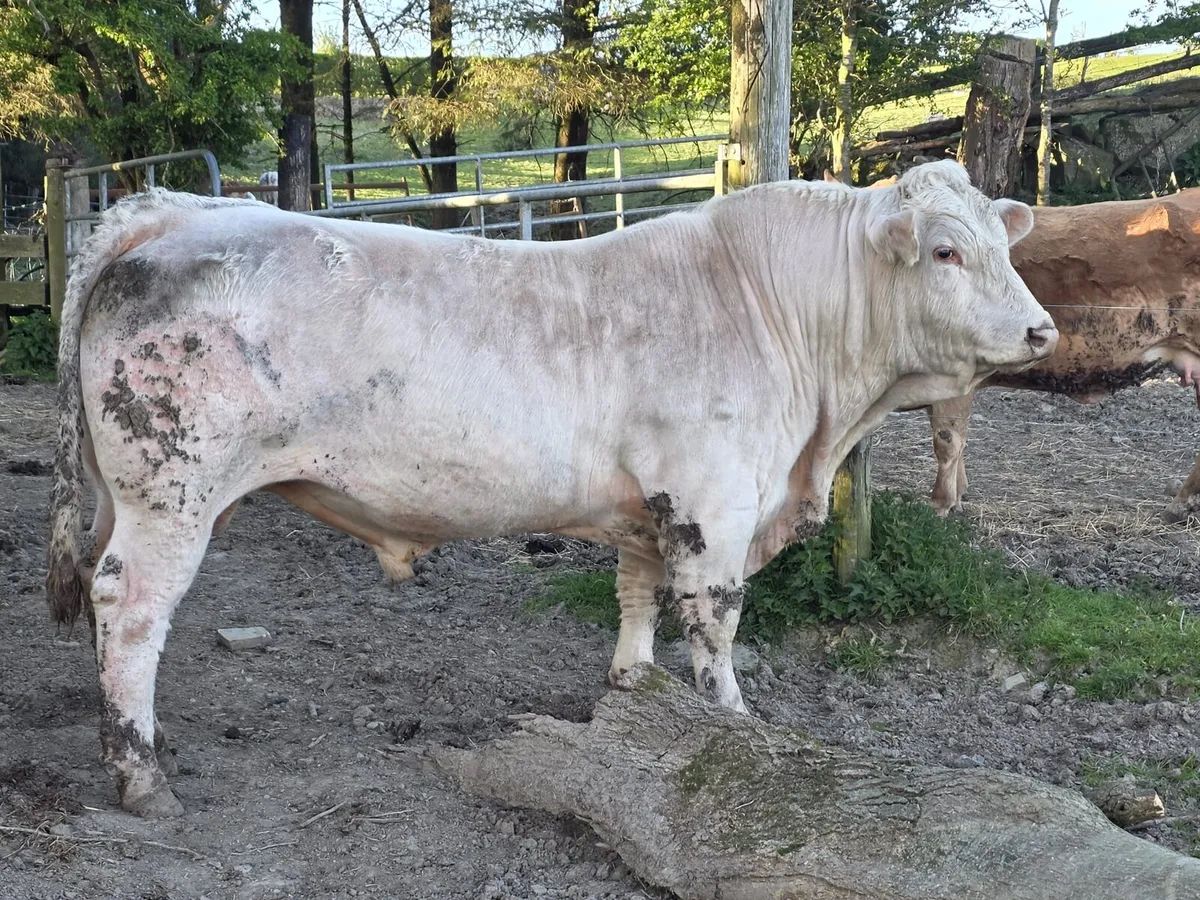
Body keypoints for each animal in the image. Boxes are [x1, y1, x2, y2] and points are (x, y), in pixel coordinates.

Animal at [46, 159, 1056, 817]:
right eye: (945, 253)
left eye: (1003, 244)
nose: (1042, 331)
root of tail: (169, 208)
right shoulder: (715, 505)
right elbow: (716, 624)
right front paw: (733, 728)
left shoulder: (649, 512)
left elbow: (638, 602)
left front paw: (630, 699)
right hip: (172, 492)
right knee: (131, 605)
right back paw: (140, 774)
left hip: (119, 491)